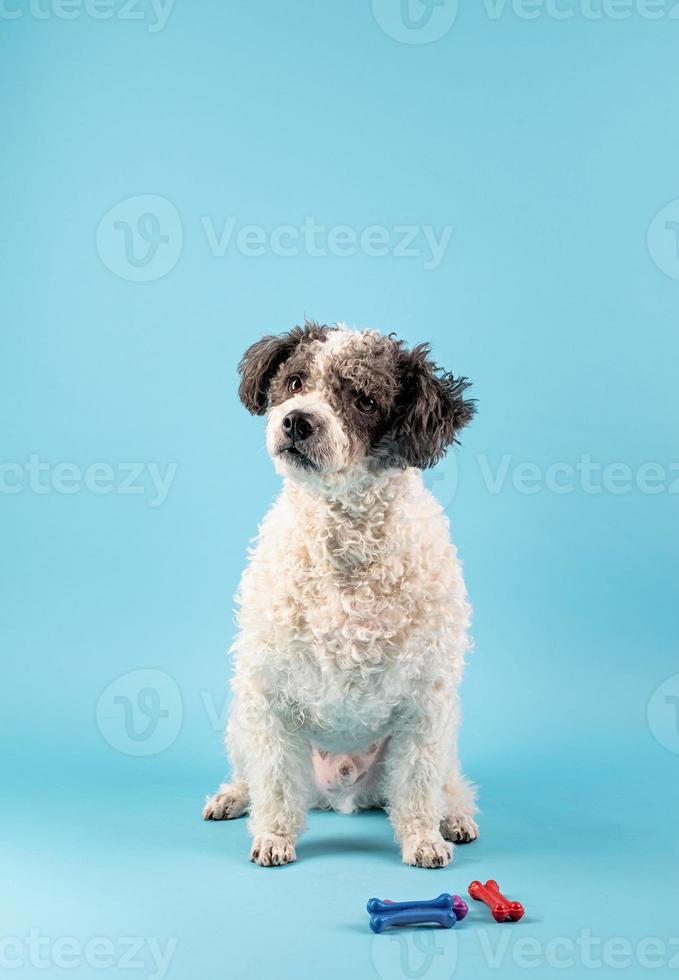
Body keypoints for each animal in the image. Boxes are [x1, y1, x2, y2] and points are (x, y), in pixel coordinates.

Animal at [205, 322, 480, 864]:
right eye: (294, 382)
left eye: (366, 401)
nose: (297, 422)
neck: (344, 543)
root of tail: (345, 792)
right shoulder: (268, 694)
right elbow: (274, 781)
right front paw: (274, 834)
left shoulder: (426, 701)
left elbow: (419, 783)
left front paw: (422, 836)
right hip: (242, 722)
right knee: (252, 772)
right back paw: (233, 795)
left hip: (442, 736)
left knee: (447, 783)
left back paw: (454, 816)